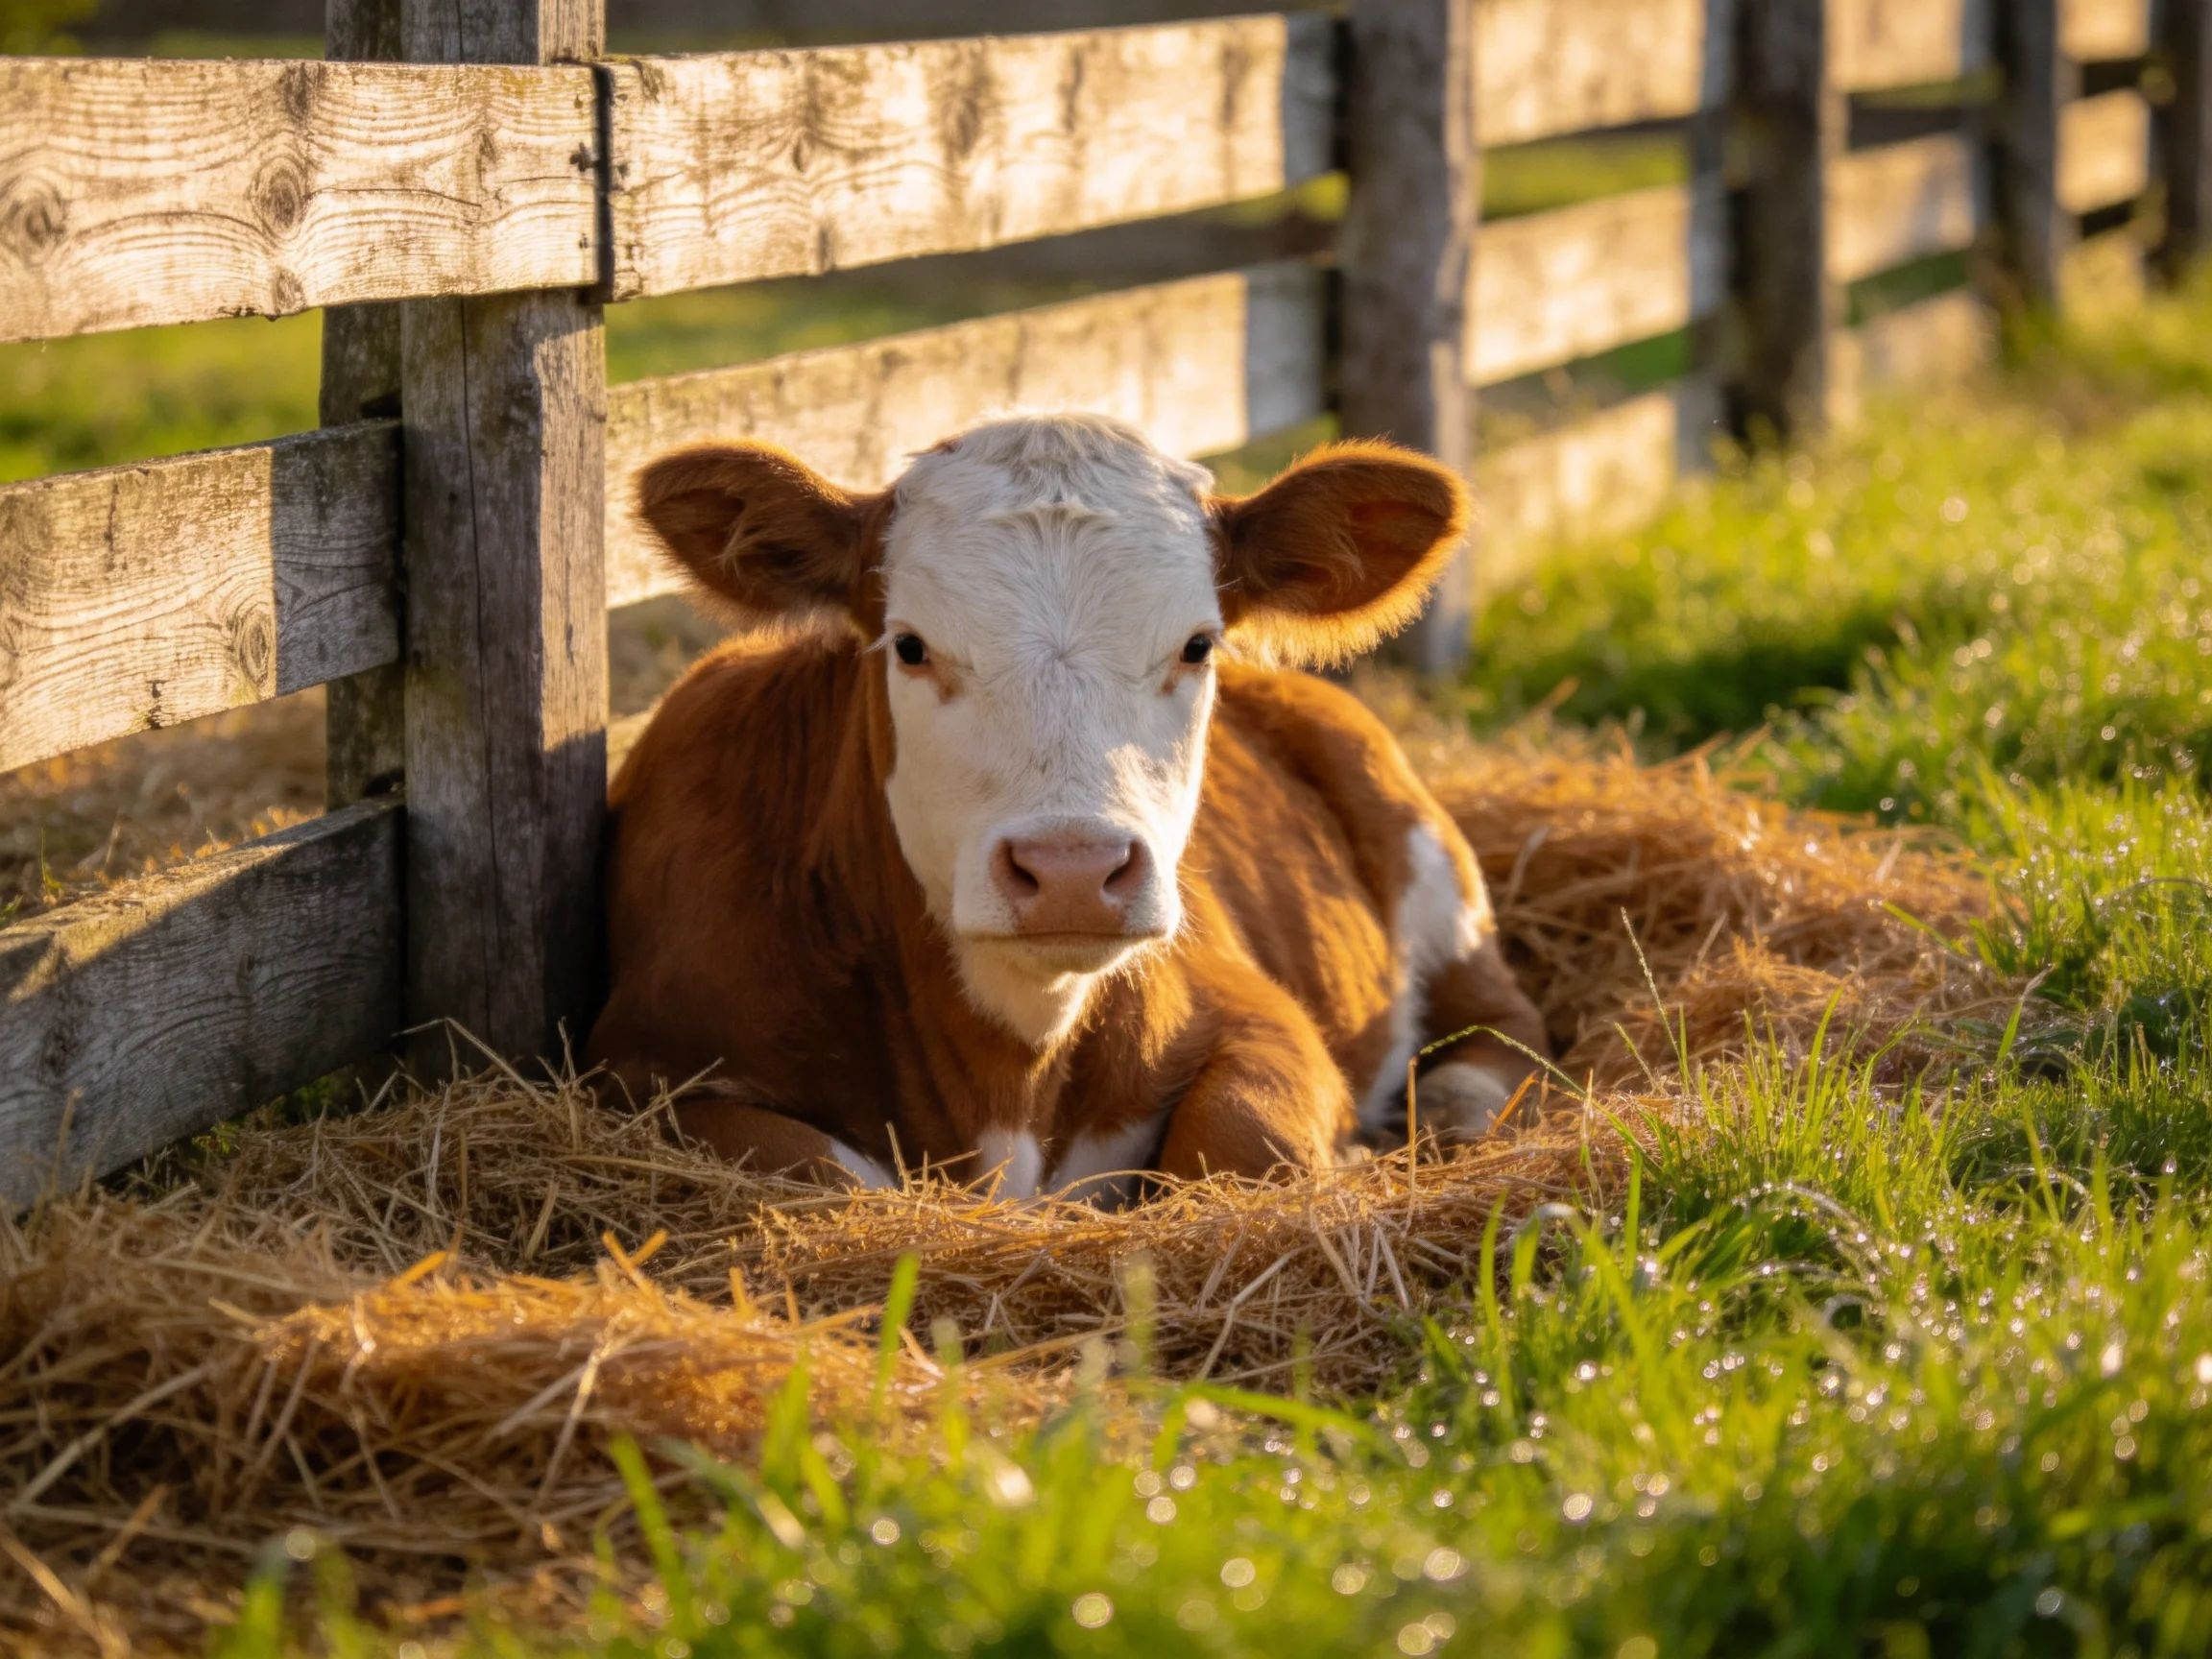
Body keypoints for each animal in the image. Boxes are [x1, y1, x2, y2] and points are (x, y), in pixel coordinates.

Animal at [585, 413, 1548, 1199]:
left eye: (1198, 645)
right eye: (911, 646)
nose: (1073, 871)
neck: (1013, 1071)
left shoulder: (1261, 1017)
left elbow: (1242, 1145)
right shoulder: (640, 1074)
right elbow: (840, 1176)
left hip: (1437, 881)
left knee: (1503, 1038)